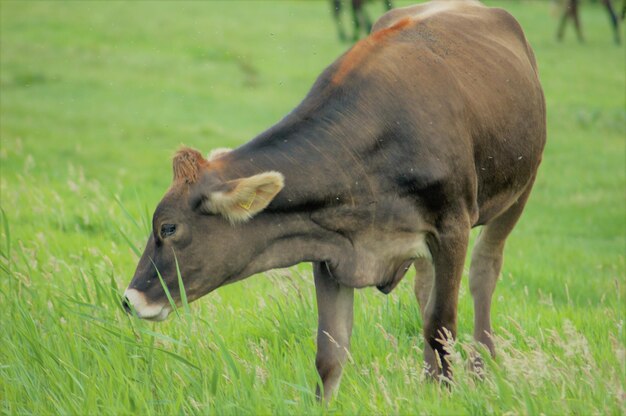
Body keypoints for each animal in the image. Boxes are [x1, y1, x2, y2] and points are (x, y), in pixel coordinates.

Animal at [122, 0, 540, 404]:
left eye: (168, 228)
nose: (128, 300)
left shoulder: (451, 227)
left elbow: (440, 326)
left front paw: (448, 396)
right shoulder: (331, 247)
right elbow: (331, 352)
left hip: (520, 189)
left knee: (484, 272)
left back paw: (481, 369)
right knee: (425, 288)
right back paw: (428, 380)